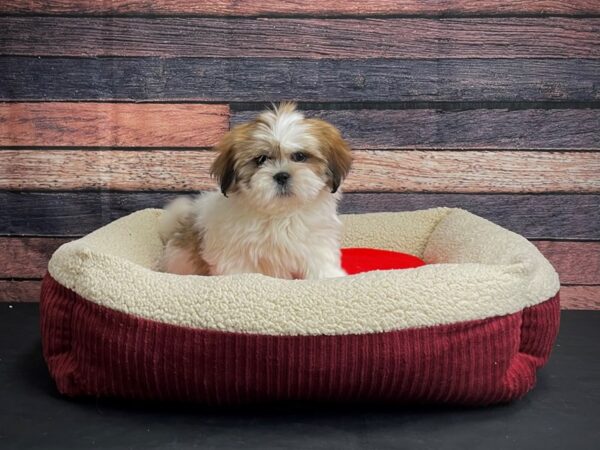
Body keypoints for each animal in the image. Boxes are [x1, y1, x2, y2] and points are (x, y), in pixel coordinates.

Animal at [158, 102, 352, 280]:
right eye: (261, 159)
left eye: (299, 156)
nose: (281, 176)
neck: (279, 214)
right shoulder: (235, 253)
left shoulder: (317, 241)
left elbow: (319, 262)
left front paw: (331, 276)